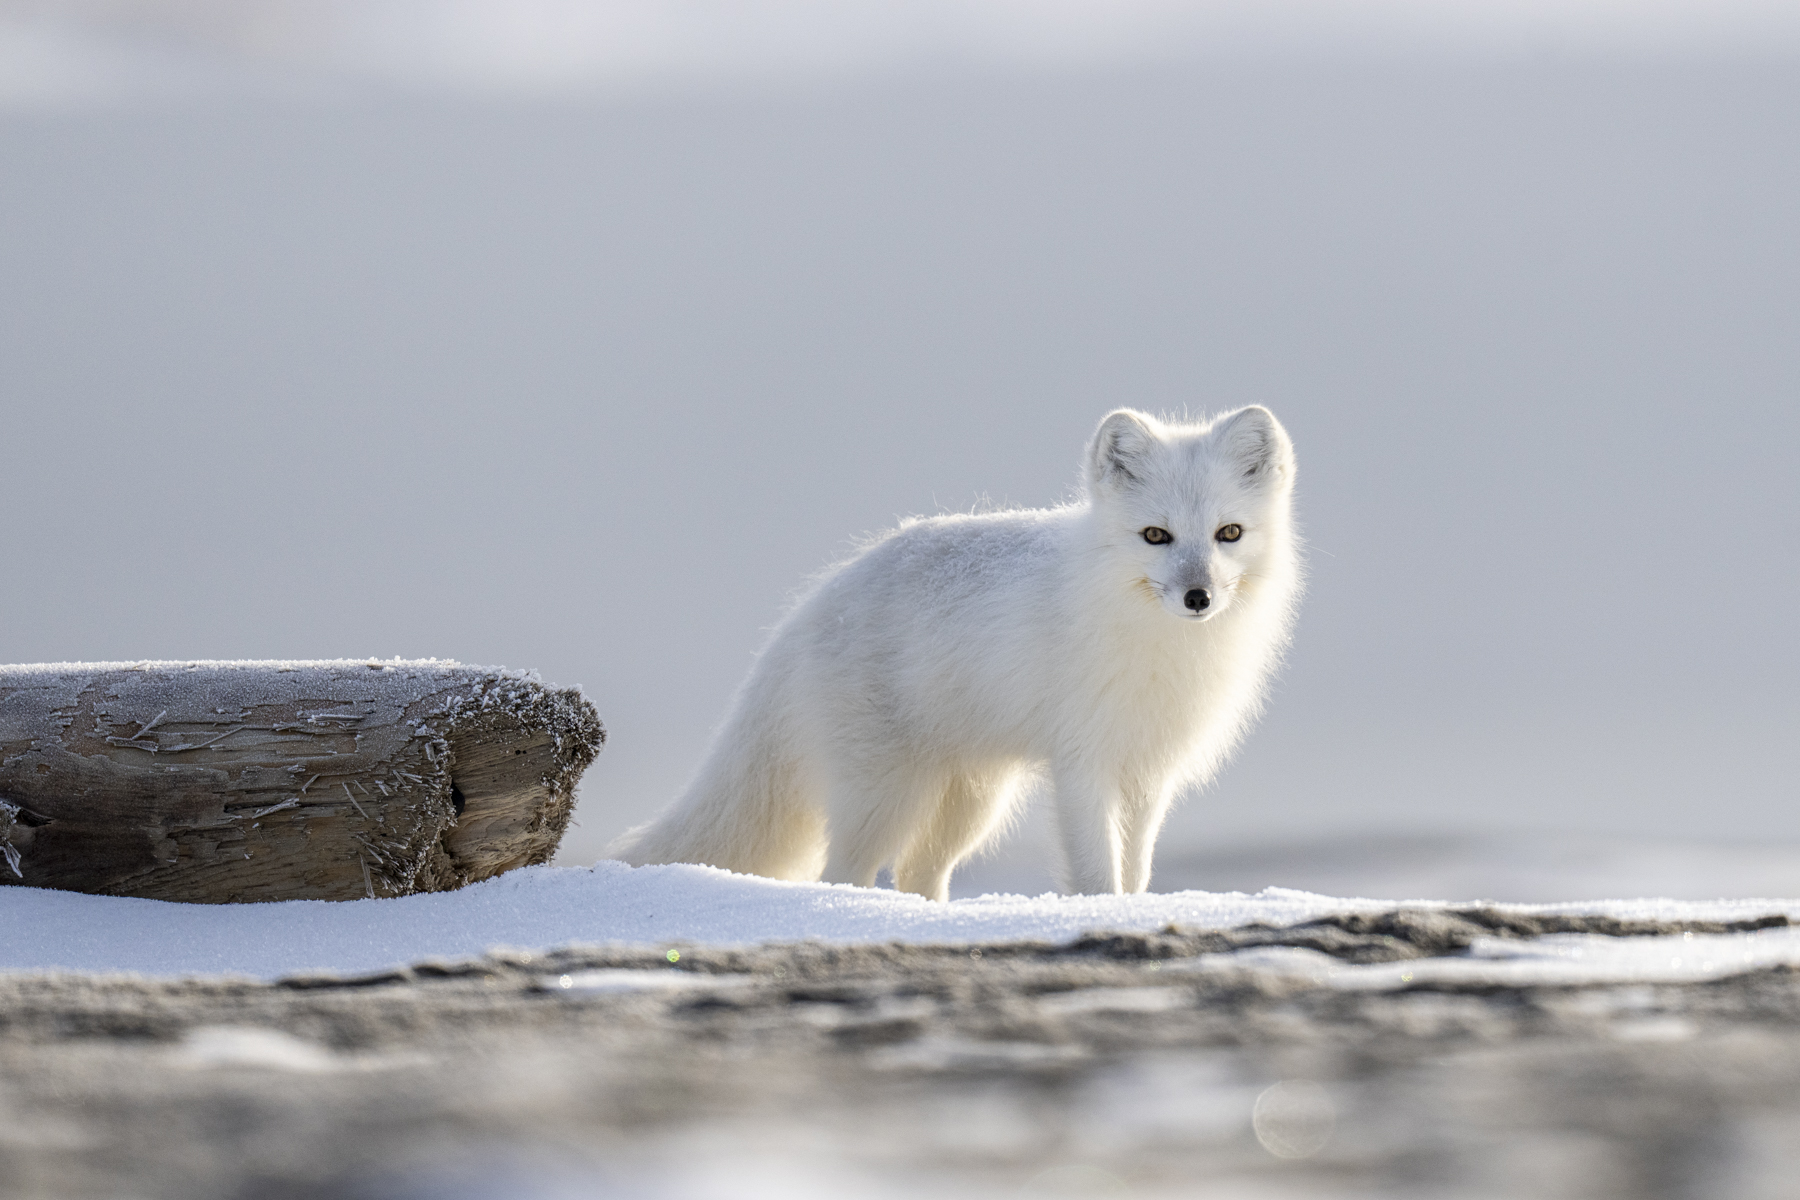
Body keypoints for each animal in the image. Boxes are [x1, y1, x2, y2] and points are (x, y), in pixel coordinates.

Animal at [613, 406, 1302, 899]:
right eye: (1156, 535)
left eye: (1229, 533)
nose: (1197, 596)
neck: (1163, 647)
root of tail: (811, 607)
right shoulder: (1084, 766)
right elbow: (1097, 875)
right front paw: (1098, 915)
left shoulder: (1146, 773)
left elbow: (1135, 875)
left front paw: (1131, 915)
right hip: (886, 795)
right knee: (844, 873)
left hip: (968, 801)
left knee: (919, 872)